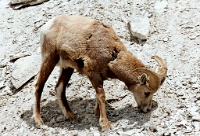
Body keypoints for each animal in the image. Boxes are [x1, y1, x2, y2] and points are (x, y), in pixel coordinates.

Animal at [34, 14, 167, 130]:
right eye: (146, 93)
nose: (147, 109)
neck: (113, 55)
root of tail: (47, 26)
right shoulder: (93, 74)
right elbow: (102, 96)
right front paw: (105, 125)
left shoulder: (99, 78)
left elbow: (98, 97)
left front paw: (97, 114)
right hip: (49, 59)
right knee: (39, 86)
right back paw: (39, 121)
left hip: (67, 68)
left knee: (59, 88)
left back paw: (72, 117)